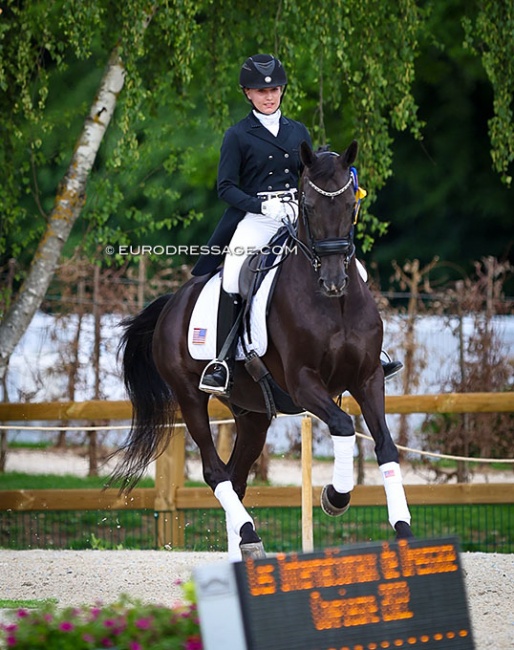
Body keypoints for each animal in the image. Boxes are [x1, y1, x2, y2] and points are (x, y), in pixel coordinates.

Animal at [113, 140, 412, 556]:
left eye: (351, 205)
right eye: (307, 205)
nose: (334, 281)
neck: (334, 305)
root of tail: (172, 303)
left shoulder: (368, 378)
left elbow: (385, 446)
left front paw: (404, 529)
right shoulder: (303, 382)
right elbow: (342, 425)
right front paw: (335, 496)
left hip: (251, 412)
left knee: (236, 476)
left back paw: (243, 547)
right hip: (190, 396)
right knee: (215, 471)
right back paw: (249, 536)